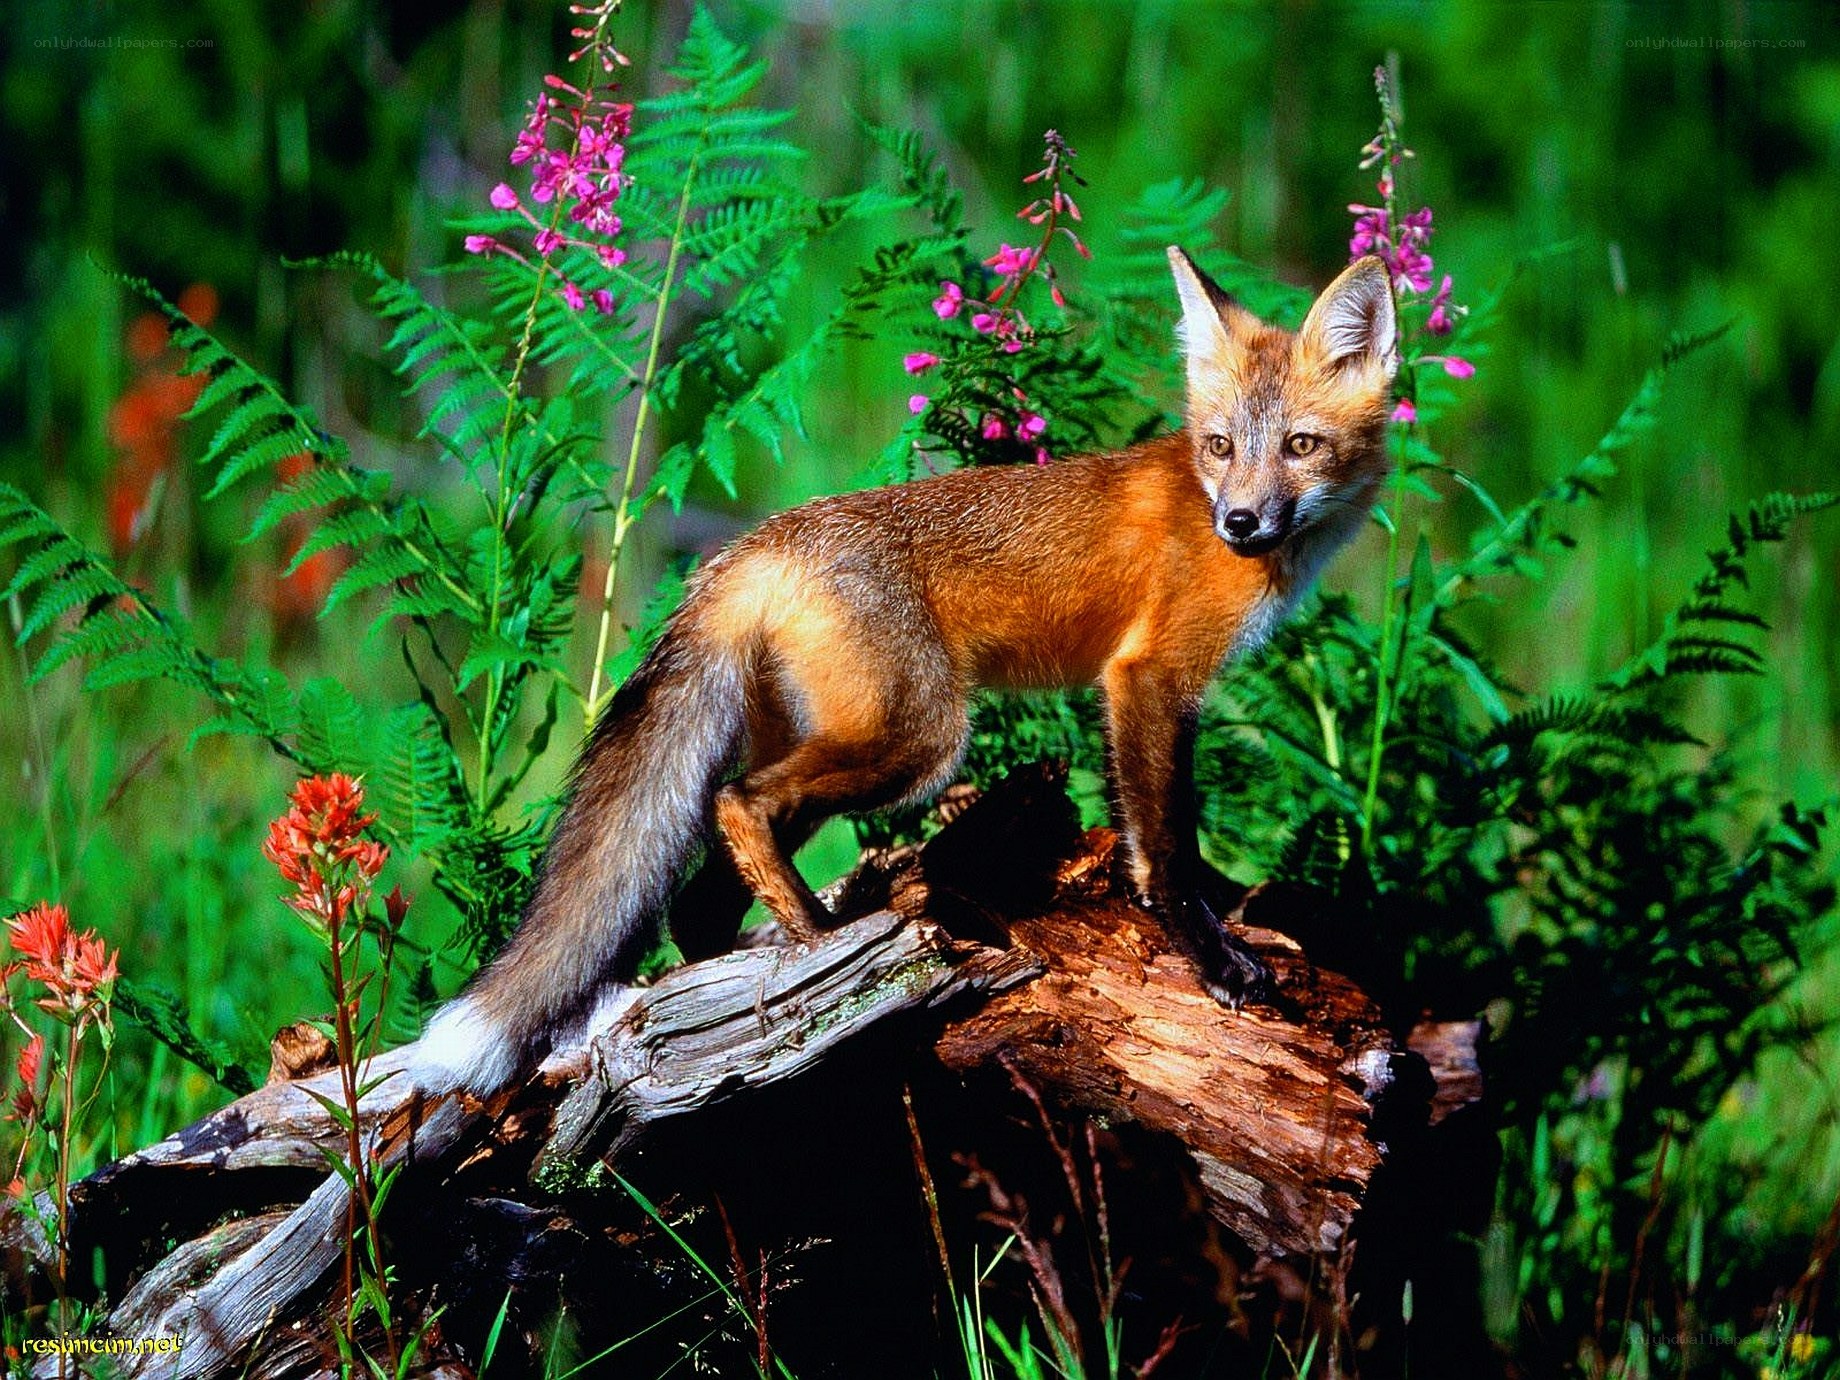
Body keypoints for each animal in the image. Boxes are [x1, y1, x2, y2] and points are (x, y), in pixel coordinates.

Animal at [410, 247, 1399, 1098]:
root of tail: (749, 549)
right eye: (1223, 445)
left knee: (696, 897)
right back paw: (824, 951)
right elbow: (1166, 851)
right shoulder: (1149, 676)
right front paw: (1212, 956)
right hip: (921, 738)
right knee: (737, 802)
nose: (1240, 522)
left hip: (841, 735)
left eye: (1301, 446)